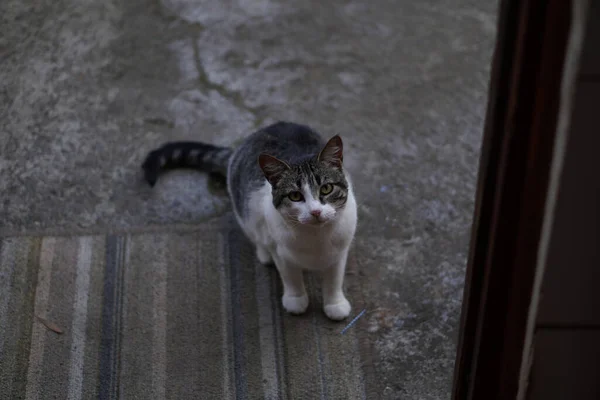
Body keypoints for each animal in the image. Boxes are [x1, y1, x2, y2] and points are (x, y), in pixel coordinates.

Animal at [142, 120, 356, 320]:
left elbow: (334, 278)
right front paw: (296, 300)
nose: (315, 212)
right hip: (246, 212)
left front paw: (335, 304)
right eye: (295, 196)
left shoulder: (341, 248)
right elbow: (290, 275)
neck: (316, 237)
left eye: (326, 189)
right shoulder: (279, 248)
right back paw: (264, 253)